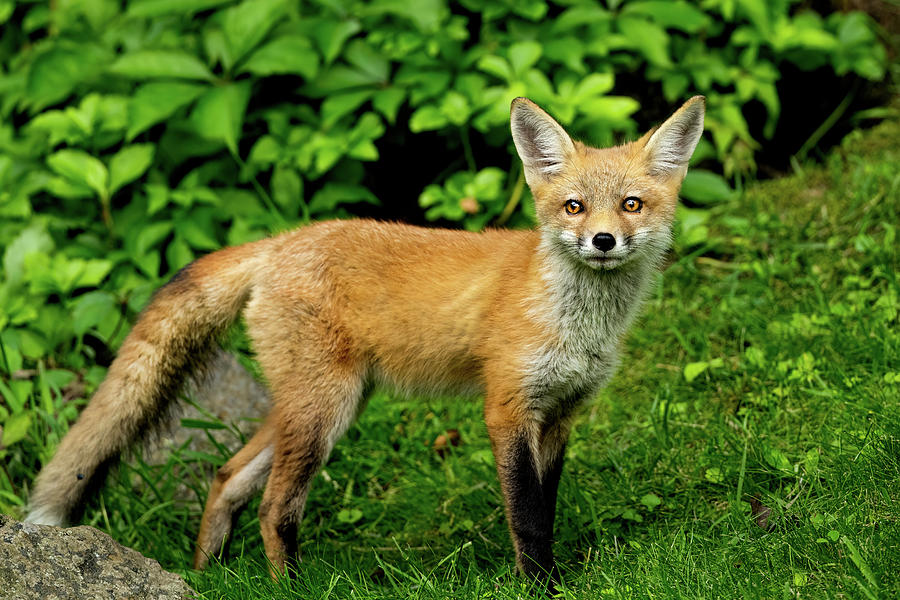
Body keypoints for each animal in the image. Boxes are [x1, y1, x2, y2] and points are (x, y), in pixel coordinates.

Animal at [26, 97, 704, 580]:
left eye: (631, 204)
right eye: (573, 208)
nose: (603, 241)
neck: (578, 322)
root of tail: (281, 241)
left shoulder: (561, 415)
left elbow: (548, 509)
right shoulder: (507, 410)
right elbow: (528, 518)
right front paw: (541, 586)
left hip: (317, 405)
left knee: (228, 477)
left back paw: (206, 575)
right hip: (324, 410)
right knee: (274, 506)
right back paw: (289, 587)